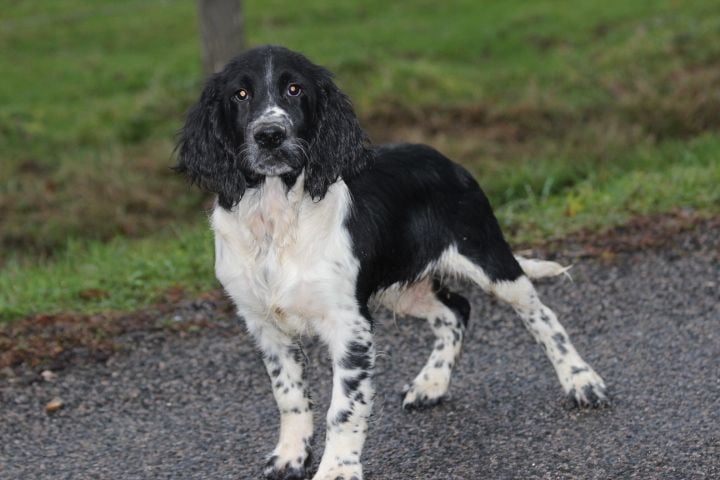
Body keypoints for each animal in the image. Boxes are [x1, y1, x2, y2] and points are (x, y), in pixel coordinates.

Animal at [175, 45, 608, 480]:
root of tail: (447, 160)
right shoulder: (265, 324)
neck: (275, 220)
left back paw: (581, 381)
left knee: (541, 315)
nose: (269, 135)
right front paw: (290, 456)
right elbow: (289, 395)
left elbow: (343, 409)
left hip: (489, 259)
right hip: (402, 285)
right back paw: (431, 384)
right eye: (240, 95)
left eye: (294, 89)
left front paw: (337, 470)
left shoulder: (350, 324)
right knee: (456, 309)